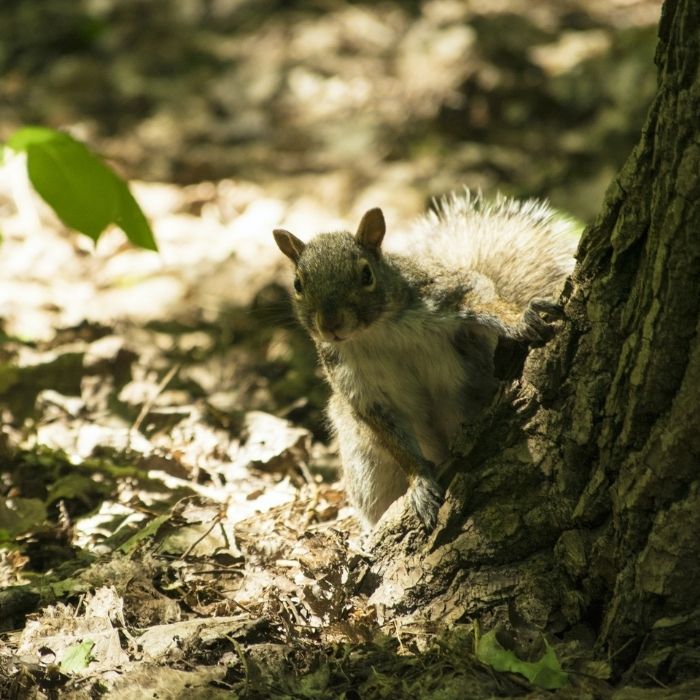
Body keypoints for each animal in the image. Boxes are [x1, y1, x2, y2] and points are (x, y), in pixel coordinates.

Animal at [270, 191, 576, 532]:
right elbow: (395, 441)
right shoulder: (360, 387)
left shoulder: (443, 292)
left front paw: (520, 319)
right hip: (366, 465)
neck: (373, 332)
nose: (331, 324)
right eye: (298, 284)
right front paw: (419, 483)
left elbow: (481, 299)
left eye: (366, 274)